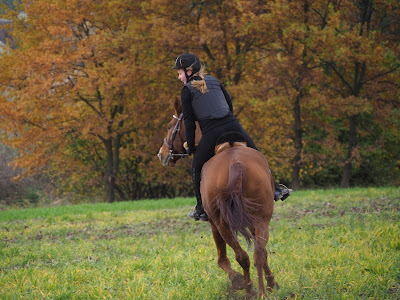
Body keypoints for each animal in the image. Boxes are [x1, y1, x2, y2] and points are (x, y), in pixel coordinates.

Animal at [157, 98, 278, 298]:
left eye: (169, 126)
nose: (163, 153)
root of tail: (236, 164)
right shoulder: (253, 221)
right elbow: (263, 253)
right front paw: (271, 283)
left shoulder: (214, 223)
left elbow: (222, 259)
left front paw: (237, 280)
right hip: (261, 219)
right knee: (258, 253)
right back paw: (262, 291)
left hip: (222, 224)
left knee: (242, 256)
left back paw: (249, 289)